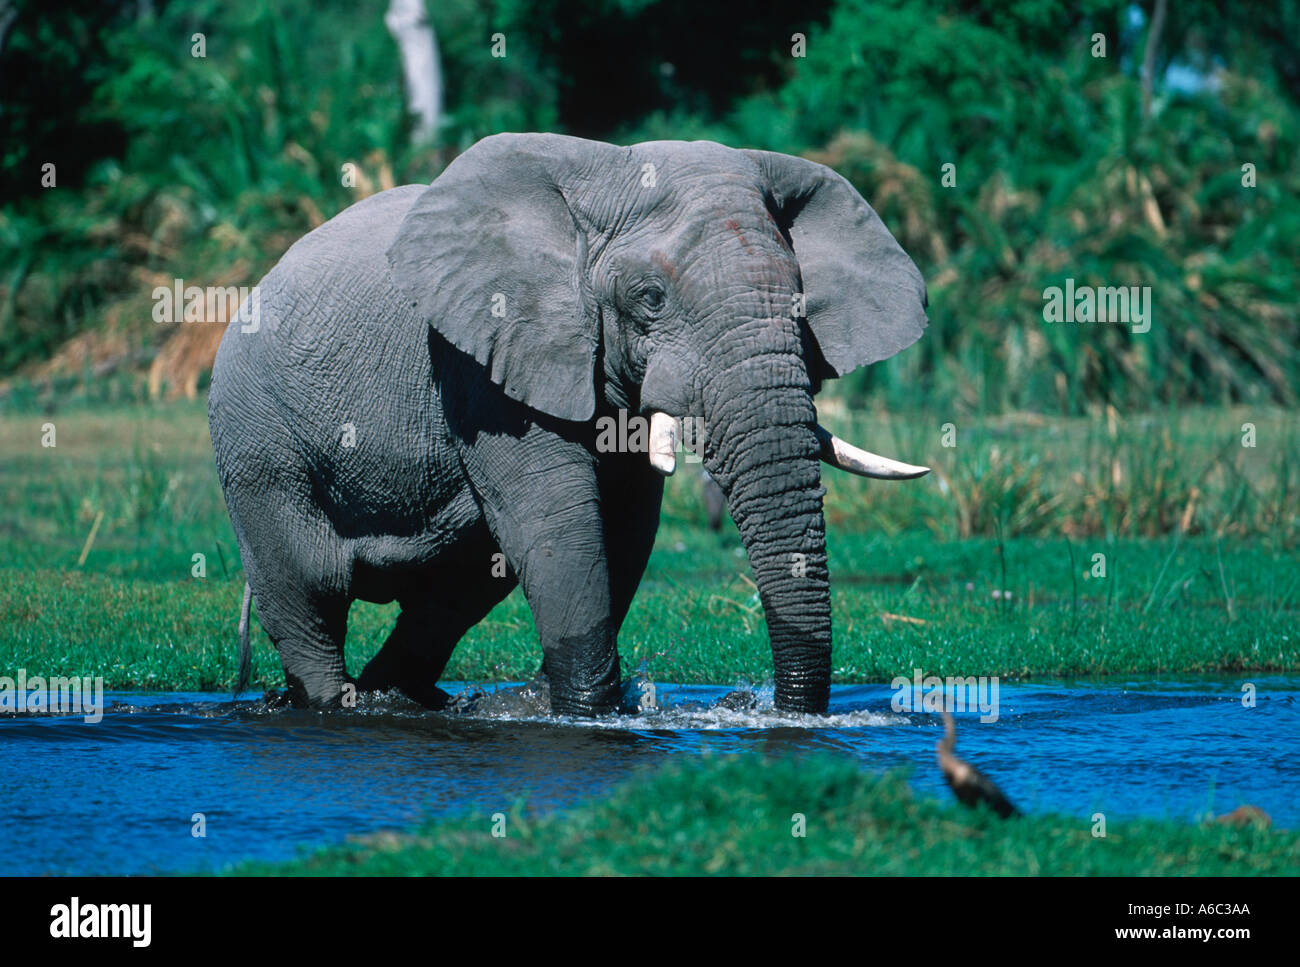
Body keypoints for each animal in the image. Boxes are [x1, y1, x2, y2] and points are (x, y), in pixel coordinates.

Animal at [208, 132, 930, 717]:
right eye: (649, 298)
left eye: (802, 300)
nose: (761, 705)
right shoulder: (484, 359)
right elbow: (558, 522)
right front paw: (583, 712)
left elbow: (625, 526)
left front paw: (557, 703)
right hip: (256, 441)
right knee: (309, 590)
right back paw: (338, 704)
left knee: (456, 593)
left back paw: (408, 701)